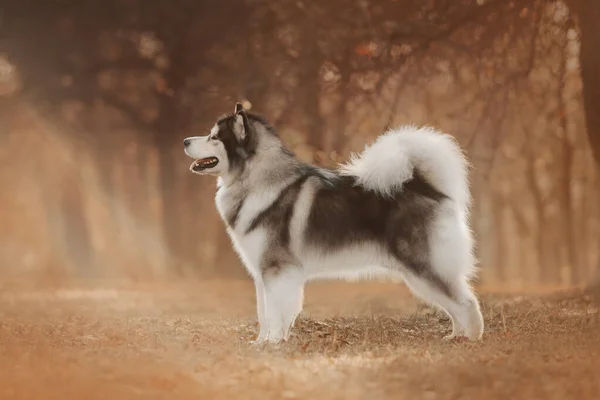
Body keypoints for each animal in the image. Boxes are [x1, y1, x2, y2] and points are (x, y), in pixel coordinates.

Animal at [183, 103, 482, 344]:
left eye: (213, 137)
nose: (185, 140)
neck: (257, 181)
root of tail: (429, 189)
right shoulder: (262, 273)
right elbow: (264, 313)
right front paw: (261, 343)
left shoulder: (279, 270)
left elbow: (277, 312)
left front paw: (275, 343)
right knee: (455, 305)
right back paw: (455, 336)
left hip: (424, 268)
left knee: (466, 302)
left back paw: (471, 339)